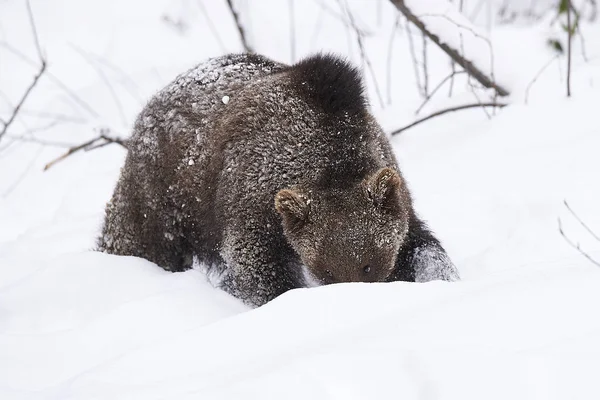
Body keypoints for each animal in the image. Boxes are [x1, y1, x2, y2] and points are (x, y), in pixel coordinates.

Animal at [99, 53, 460, 308]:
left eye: (369, 265)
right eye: (326, 270)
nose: (349, 293)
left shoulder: (396, 202)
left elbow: (422, 249)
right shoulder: (253, 207)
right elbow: (257, 266)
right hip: (162, 193)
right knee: (139, 237)